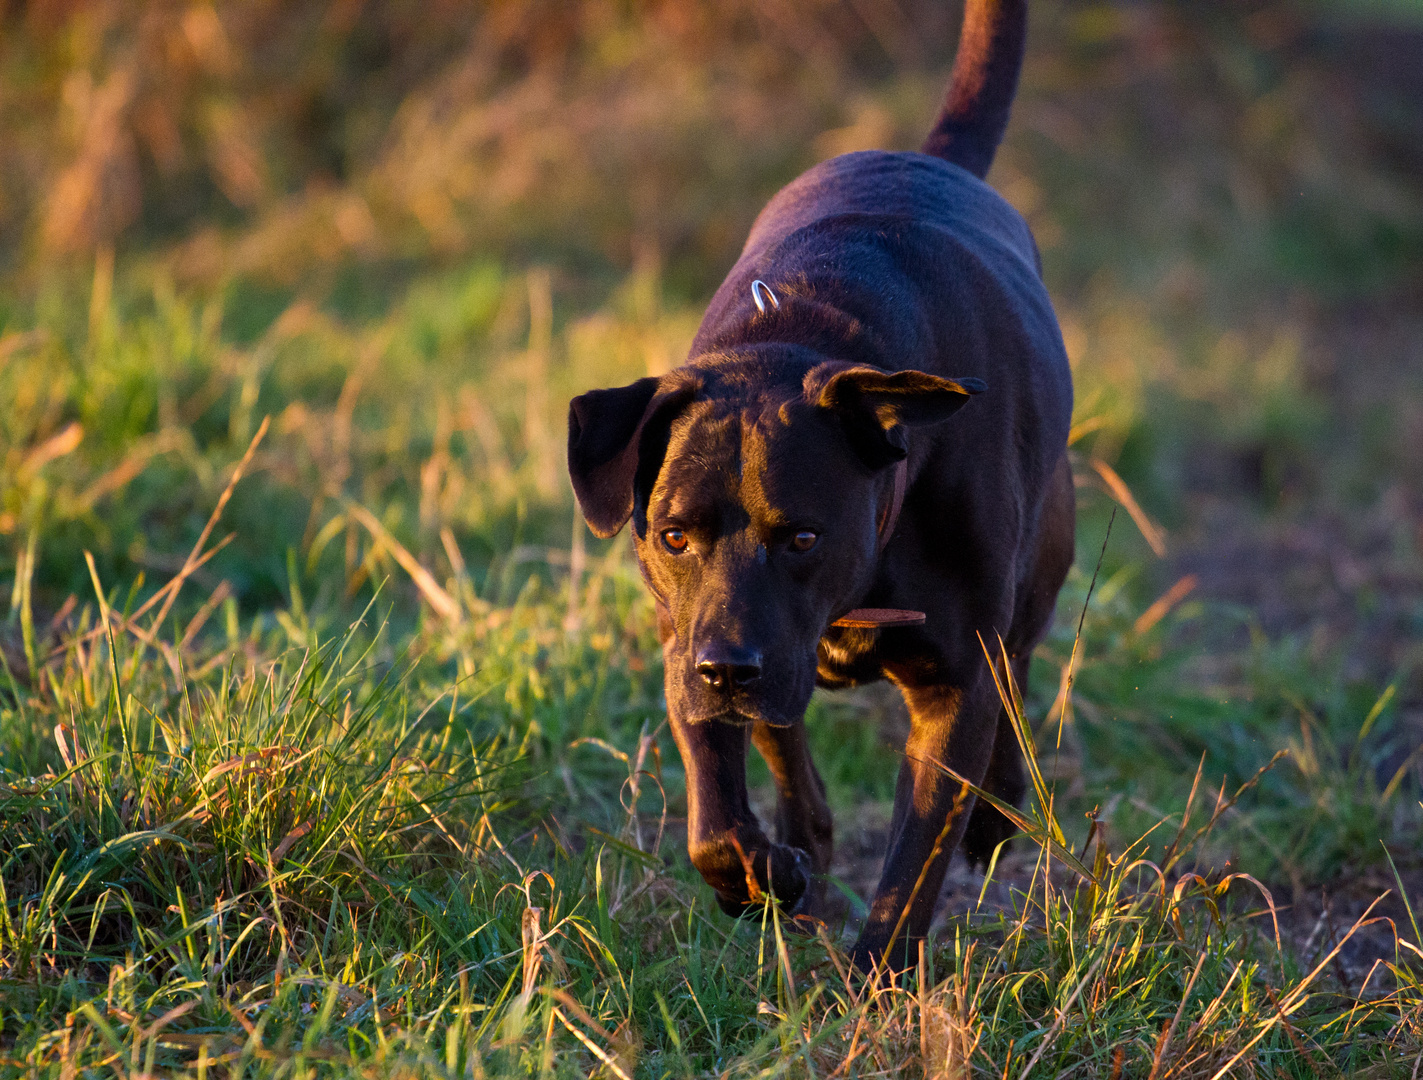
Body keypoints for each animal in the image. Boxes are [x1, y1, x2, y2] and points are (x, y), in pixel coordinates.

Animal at [563, 0, 1070, 967]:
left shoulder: (954, 684)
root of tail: (929, 158)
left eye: (802, 536)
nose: (727, 668)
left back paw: (995, 814)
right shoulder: (686, 636)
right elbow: (715, 814)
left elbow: (913, 865)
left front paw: (877, 980)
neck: (806, 332)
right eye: (672, 536)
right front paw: (762, 873)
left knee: (1019, 669)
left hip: (1039, 565)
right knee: (784, 739)